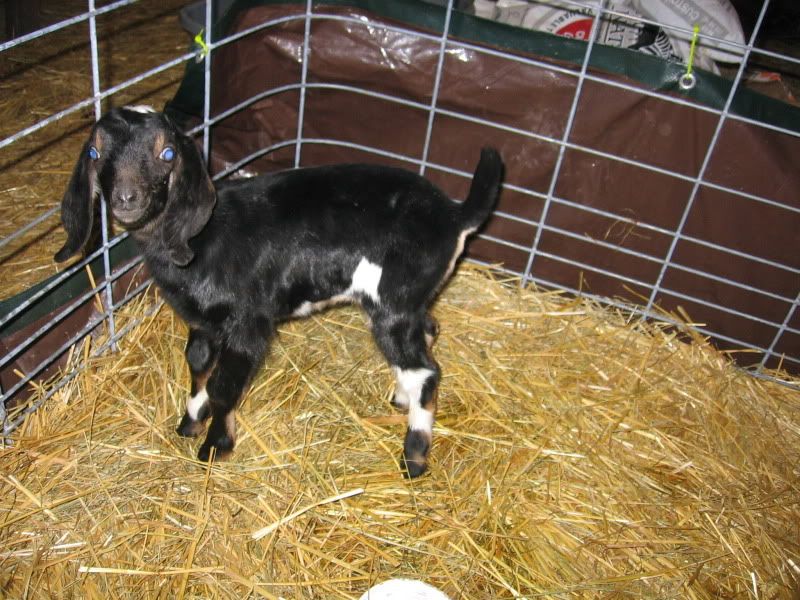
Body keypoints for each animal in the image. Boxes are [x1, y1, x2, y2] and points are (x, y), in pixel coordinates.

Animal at [55, 106, 503, 477]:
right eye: (94, 153)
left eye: (167, 154)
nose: (126, 197)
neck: (200, 241)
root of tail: (455, 214)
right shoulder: (204, 323)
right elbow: (198, 364)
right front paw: (190, 420)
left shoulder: (249, 324)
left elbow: (224, 386)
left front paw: (215, 446)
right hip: (406, 300)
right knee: (427, 332)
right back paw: (400, 398)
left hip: (393, 299)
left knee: (425, 370)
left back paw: (414, 459)